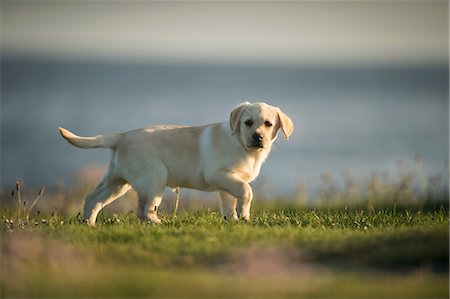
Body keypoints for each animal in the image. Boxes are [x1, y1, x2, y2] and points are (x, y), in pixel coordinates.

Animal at [58, 102, 294, 226]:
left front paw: (232, 220)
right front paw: (243, 215)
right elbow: (247, 191)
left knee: (92, 198)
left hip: (117, 181)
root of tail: (122, 136)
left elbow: (228, 202)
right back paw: (159, 224)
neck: (242, 145)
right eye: (247, 123)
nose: (258, 137)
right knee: (143, 210)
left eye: (268, 124)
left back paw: (89, 224)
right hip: (154, 178)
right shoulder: (218, 174)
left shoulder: (227, 181)